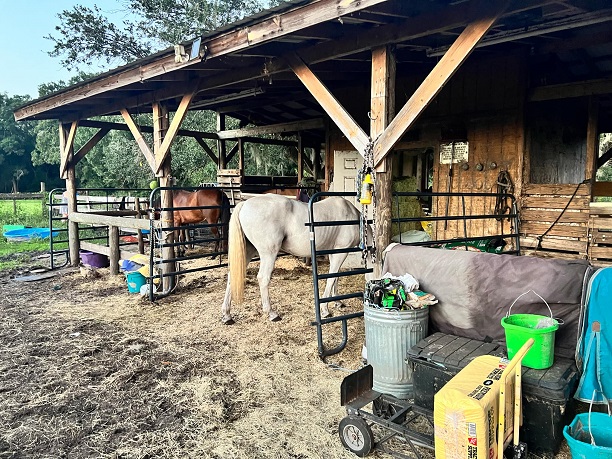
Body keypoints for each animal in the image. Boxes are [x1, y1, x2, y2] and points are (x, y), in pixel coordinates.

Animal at [221, 196, 360, 326]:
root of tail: (244, 204)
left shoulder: (333, 253)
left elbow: (336, 277)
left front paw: (337, 302)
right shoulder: (341, 252)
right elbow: (332, 278)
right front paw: (325, 310)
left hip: (248, 251)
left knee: (232, 276)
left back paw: (227, 315)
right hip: (268, 253)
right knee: (263, 278)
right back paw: (272, 313)